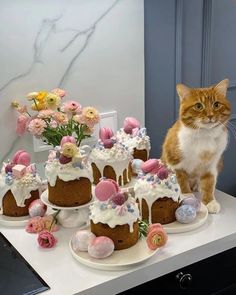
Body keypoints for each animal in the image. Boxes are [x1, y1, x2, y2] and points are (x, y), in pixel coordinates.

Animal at [161, 78, 231, 213]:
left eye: (216, 104)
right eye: (198, 106)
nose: (210, 115)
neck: (205, 135)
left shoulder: (212, 164)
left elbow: (209, 183)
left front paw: (209, 201)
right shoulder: (175, 162)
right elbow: (181, 180)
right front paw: (187, 196)